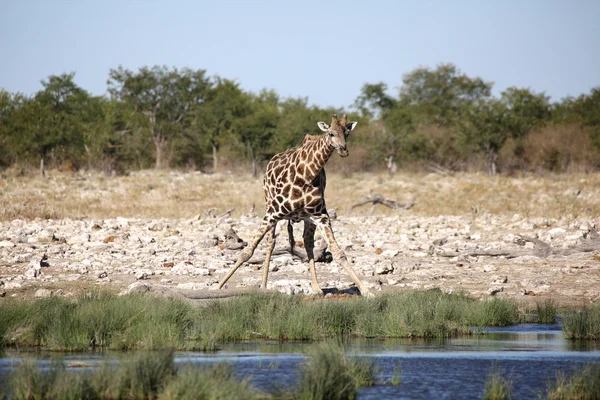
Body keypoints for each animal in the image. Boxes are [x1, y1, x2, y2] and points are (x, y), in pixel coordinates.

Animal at [218, 114, 370, 296]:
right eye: (331, 133)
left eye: (347, 133)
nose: (343, 150)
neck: (308, 174)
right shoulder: (272, 213)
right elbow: (247, 252)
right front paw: (217, 286)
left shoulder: (321, 216)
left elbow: (339, 253)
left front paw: (367, 291)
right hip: (269, 204)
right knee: (270, 243)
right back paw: (263, 286)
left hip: (307, 218)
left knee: (308, 243)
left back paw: (316, 288)